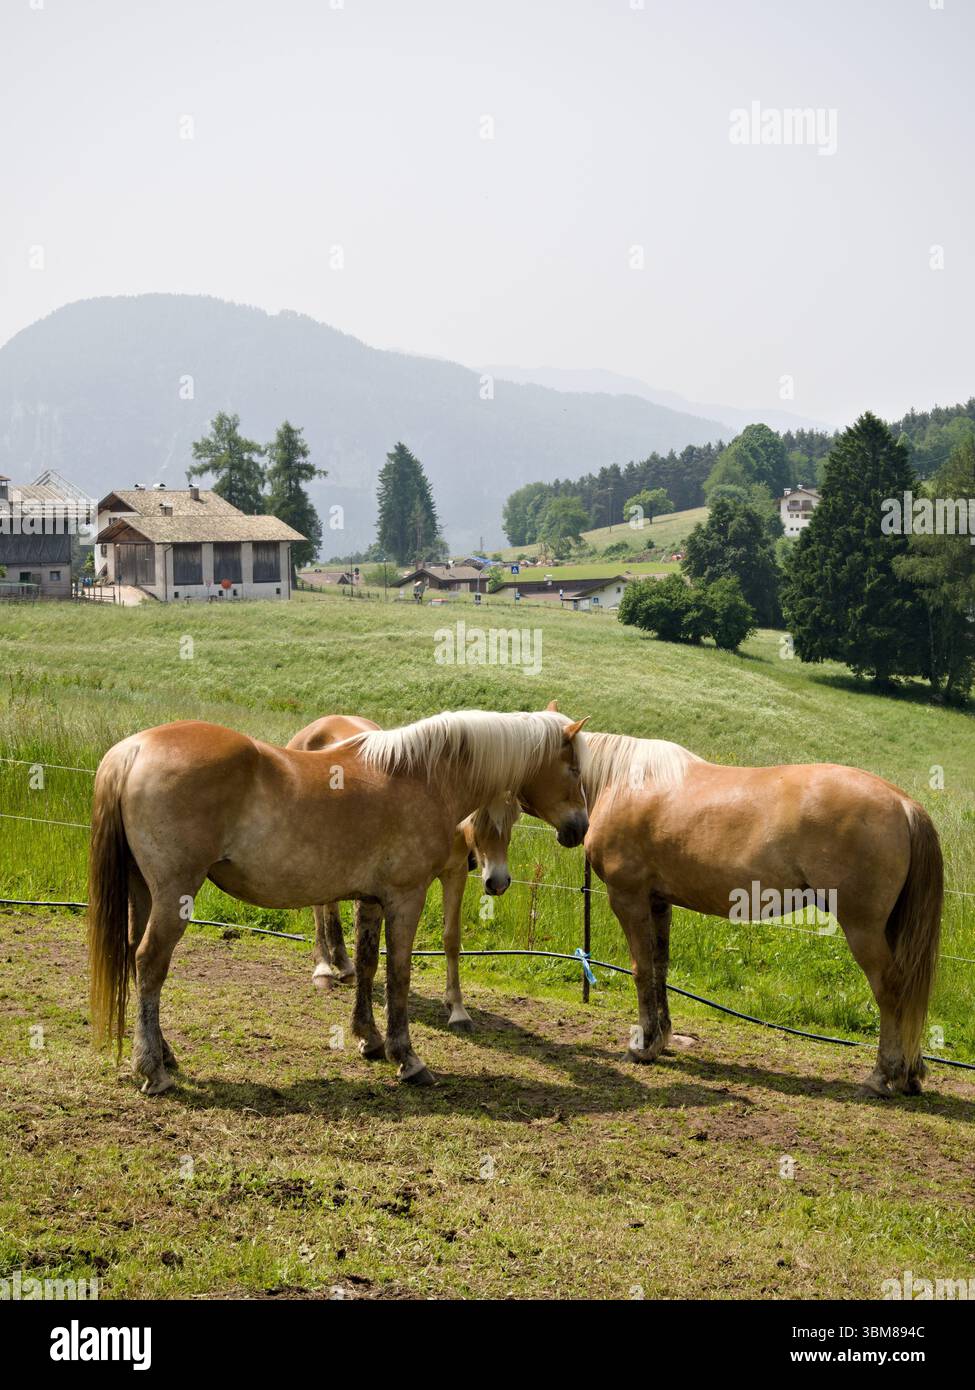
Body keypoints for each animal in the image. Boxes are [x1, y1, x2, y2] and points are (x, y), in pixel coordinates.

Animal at [287, 713, 520, 1031]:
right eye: (477, 821)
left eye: (514, 818)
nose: (498, 882)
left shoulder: (454, 873)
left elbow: (451, 938)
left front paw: (457, 1009)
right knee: (319, 906)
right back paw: (323, 968)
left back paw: (343, 964)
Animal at [582, 731, 943, 1097]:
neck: (618, 781)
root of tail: (902, 803)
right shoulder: (658, 901)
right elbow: (659, 967)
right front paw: (659, 1040)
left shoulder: (629, 898)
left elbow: (641, 970)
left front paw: (641, 1047)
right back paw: (910, 1074)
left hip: (864, 931)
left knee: (891, 990)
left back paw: (881, 1076)